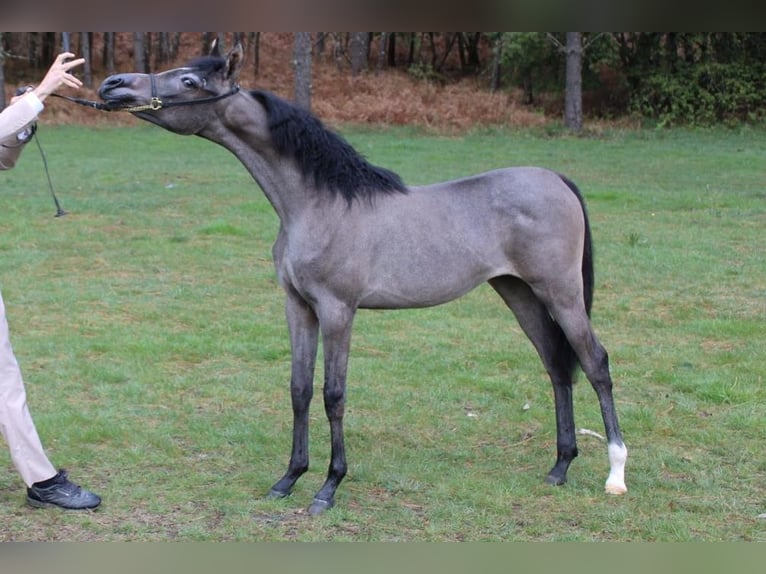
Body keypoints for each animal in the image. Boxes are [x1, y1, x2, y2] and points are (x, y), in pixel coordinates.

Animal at [98, 42, 627, 516]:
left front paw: (328, 487)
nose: (112, 85)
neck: (318, 204)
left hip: (561, 293)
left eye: (190, 80)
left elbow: (333, 395)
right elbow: (299, 390)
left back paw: (615, 474)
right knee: (557, 366)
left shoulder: (338, 310)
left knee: (595, 363)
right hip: (519, 293)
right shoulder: (298, 307)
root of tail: (556, 179)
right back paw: (559, 467)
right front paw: (288, 478)